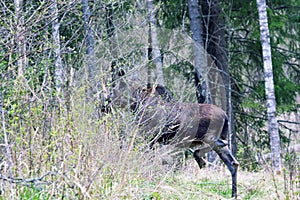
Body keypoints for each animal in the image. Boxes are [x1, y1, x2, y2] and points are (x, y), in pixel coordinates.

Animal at [103, 67, 239, 198]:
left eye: (114, 89)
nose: (105, 105)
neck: (137, 102)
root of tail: (226, 116)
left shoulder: (149, 137)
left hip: (209, 137)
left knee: (221, 144)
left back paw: (200, 158)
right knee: (233, 163)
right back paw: (233, 194)